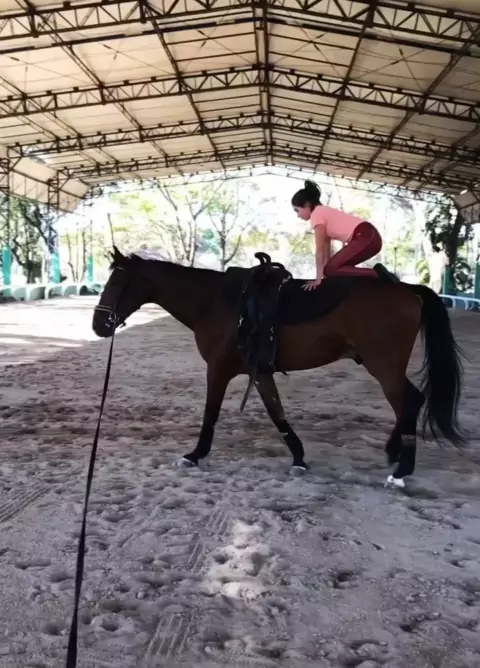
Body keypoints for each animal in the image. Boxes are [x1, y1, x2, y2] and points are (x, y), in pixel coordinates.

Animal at [92, 246, 465, 489]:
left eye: (115, 284)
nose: (99, 326)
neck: (215, 303)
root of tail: (408, 290)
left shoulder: (219, 369)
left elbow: (211, 413)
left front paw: (195, 454)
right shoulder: (260, 372)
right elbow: (277, 413)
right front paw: (298, 458)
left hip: (384, 366)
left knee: (410, 402)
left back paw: (401, 470)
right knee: (409, 404)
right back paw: (393, 453)